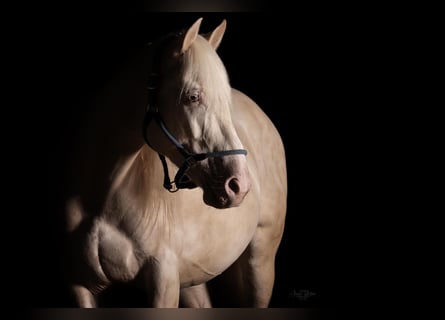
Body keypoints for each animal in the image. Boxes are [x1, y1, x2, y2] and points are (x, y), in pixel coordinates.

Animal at [62, 17, 286, 308]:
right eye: (192, 97)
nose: (239, 186)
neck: (101, 197)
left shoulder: (163, 280)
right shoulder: (80, 286)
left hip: (260, 259)